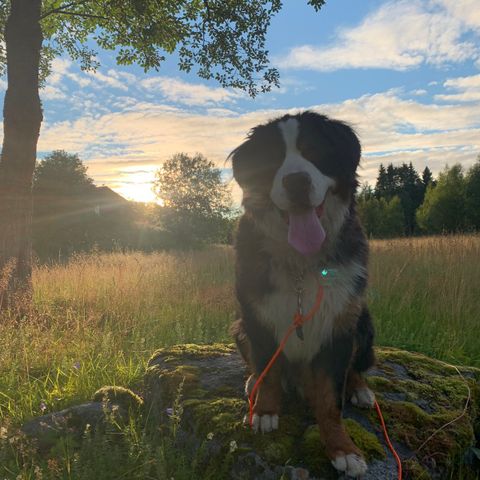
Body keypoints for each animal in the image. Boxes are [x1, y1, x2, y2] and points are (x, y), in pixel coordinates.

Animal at [231, 111, 376, 476]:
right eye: (273, 160)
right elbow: (269, 369)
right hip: (238, 327)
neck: (301, 262)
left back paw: (361, 391)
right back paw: (252, 381)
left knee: (356, 367)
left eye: (314, 151)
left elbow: (330, 400)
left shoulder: (338, 327)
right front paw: (265, 412)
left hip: (363, 322)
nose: (296, 182)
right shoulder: (257, 317)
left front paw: (343, 449)